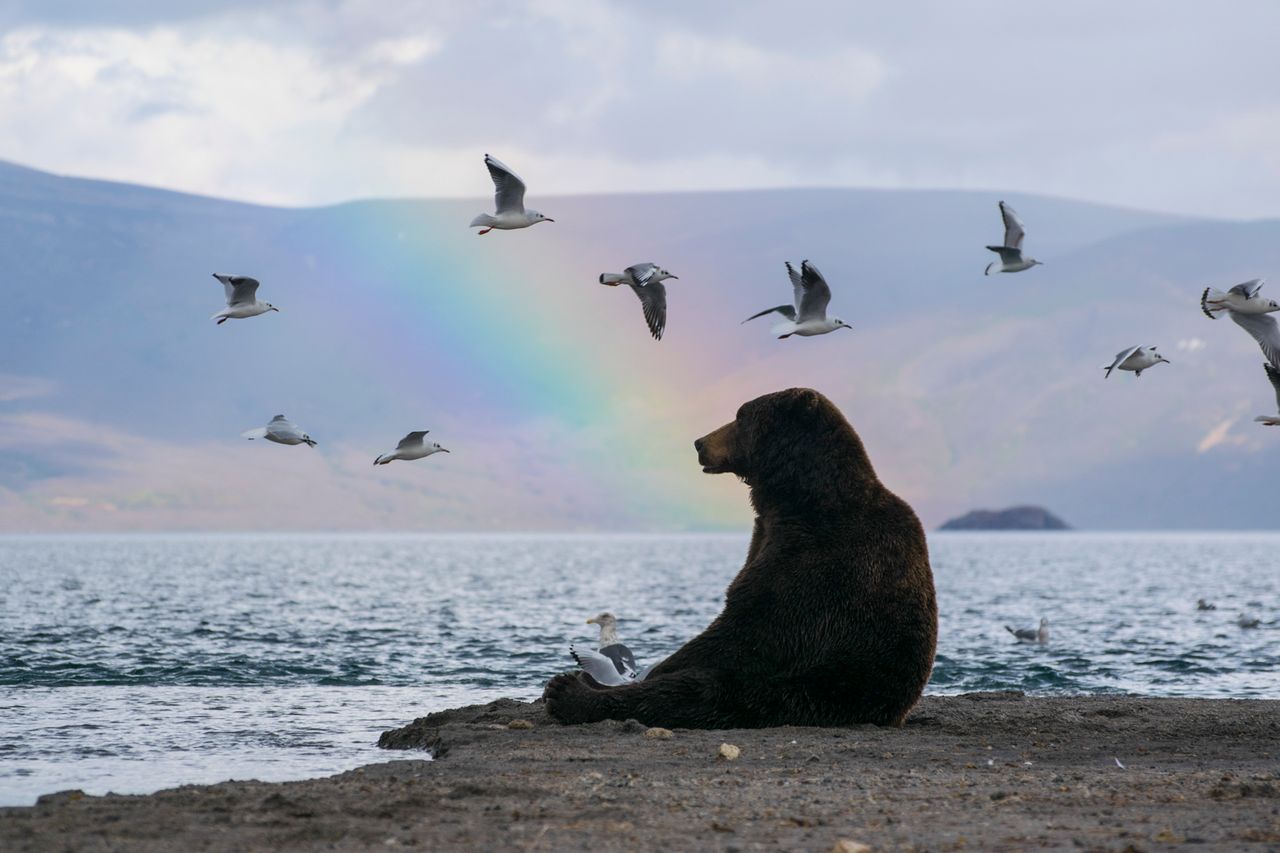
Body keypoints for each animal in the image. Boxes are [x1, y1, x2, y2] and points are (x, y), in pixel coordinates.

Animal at [542, 384, 942, 722]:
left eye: (741, 414)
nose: (699, 442)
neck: (795, 498)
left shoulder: (816, 562)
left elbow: (748, 627)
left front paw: (654, 668)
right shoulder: (767, 538)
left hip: (804, 691)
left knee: (693, 693)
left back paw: (569, 691)